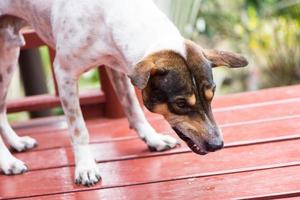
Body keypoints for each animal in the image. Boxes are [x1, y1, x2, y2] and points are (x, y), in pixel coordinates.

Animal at [0, 0, 248, 186]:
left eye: (211, 96)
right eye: (180, 104)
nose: (217, 145)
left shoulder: (119, 67)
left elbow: (133, 108)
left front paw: (152, 139)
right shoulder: (63, 73)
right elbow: (79, 129)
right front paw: (85, 166)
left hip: (9, 55)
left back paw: (16, 143)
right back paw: (7, 162)